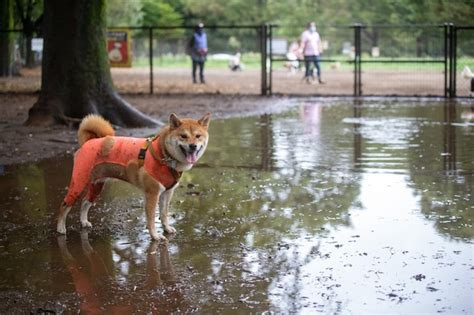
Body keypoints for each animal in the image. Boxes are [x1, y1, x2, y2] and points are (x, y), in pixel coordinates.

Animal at [56, 113, 210, 242]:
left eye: (198, 136)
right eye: (183, 136)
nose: (193, 146)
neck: (164, 154)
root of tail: (90, 141)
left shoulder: (167, 193)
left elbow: (164, 214)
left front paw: (166, 229)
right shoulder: (152, 194)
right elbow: (151, 219)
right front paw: (155, 236)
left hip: (97, 185)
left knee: (85, 203)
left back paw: (83, 222)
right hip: (79, 183)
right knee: (64, 205)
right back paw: (60, 229)